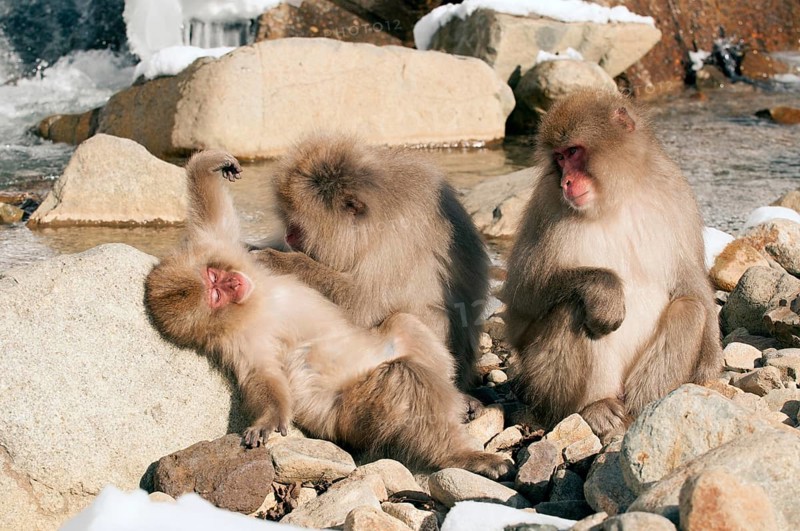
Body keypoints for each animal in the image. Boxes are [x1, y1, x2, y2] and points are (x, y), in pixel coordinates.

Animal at [250, 134, 490, 395]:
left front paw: (277, 259)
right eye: (286, 219)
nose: (288, 236)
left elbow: (363, 304)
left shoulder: (395, 240)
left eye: (297, 226)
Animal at [502, 90, 722, 441]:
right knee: (573, 305)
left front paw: (712, 361)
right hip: (542, 380)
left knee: (690, 309)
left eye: (573, 152)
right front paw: (606, 290)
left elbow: (690, 279)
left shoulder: (677, 195)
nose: (566, 181)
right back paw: (595, 407)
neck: (617, 198)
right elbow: (522, 297)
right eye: (559, 158)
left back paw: (642, 408)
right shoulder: (546, 204)